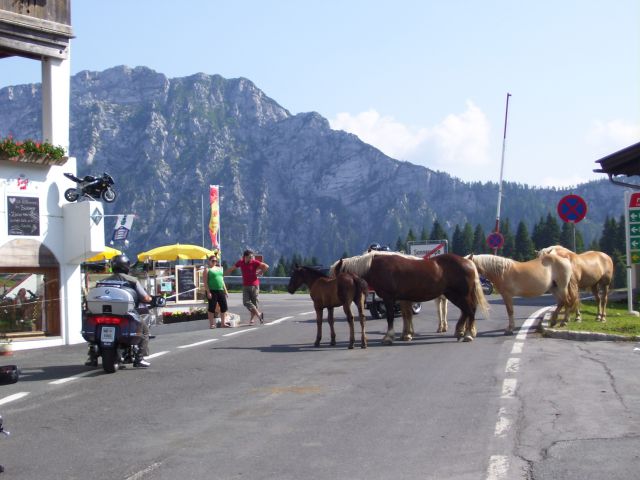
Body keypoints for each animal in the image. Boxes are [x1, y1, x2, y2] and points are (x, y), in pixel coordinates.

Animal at [332, 253, 488, 344]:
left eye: (338, 280)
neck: (375, 267)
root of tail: (469, 262)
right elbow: (405, 316)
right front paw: (404, 335)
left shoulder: (389, 298)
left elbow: (390, 317)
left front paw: (389, 337)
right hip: (453, 295)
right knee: (466, 311)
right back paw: (461, 332)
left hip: (461, 295)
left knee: (470, 311)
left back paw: (468, 334)